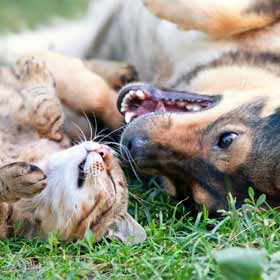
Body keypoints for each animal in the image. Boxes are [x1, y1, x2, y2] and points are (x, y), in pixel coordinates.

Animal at [1, 0, 280, 212]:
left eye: (187, 189)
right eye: (227, 139)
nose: (131, 146)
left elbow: (95, 96)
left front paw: (48, 64)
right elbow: (231, 15)